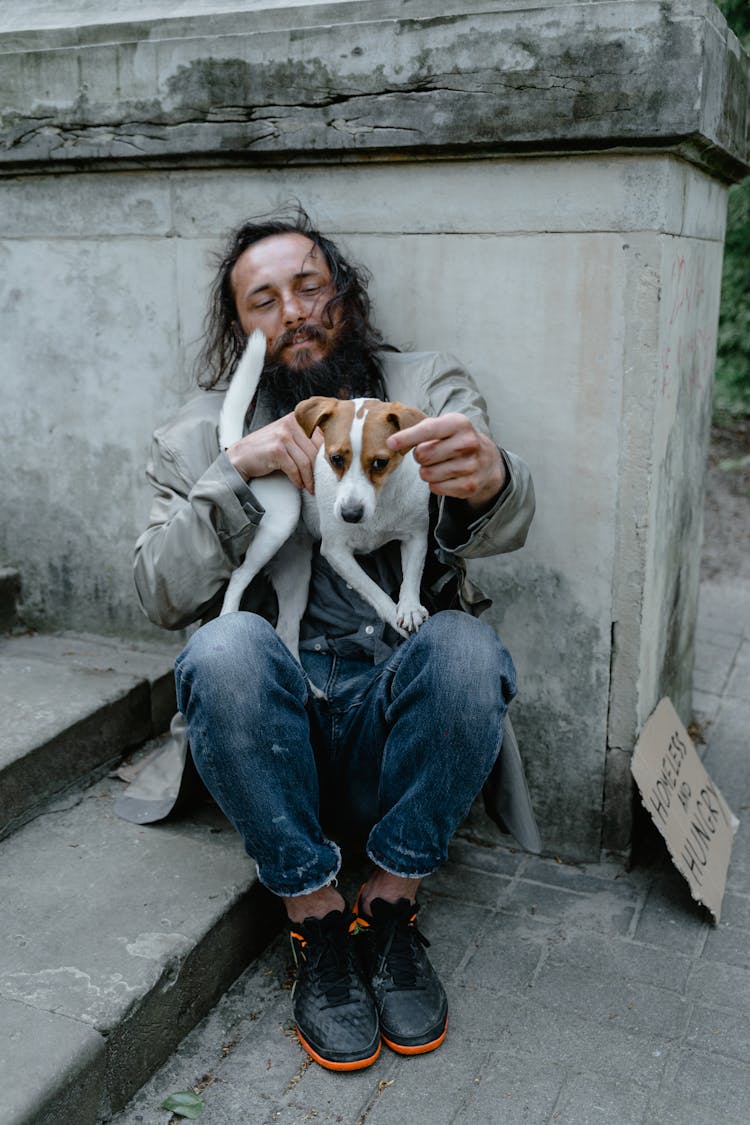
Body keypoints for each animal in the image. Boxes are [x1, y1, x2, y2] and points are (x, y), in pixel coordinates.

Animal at [218, 326, 427, 657]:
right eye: (335, 459)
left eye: (380, 463)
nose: (350, 514)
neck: (380, 505)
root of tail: (242, 445)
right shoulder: (337, 552)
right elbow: (373, 590)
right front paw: (393, 614)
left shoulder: (416, 535)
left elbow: (413, 574)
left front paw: (408, 607)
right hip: (280, 523)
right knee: (239, 576)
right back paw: (227, 618)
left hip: (296, 574)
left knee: (286, 630)